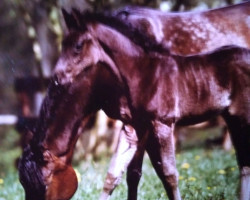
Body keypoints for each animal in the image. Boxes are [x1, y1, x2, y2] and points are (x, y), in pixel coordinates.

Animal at [19, 9, 250, 200]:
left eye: (77, 46)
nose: (57, 78)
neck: (144, 73)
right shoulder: (134, 127)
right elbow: (115, 175)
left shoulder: (162, 125)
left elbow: (169, 175)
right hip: (232, 118)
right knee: (244, 164)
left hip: (242, 117)